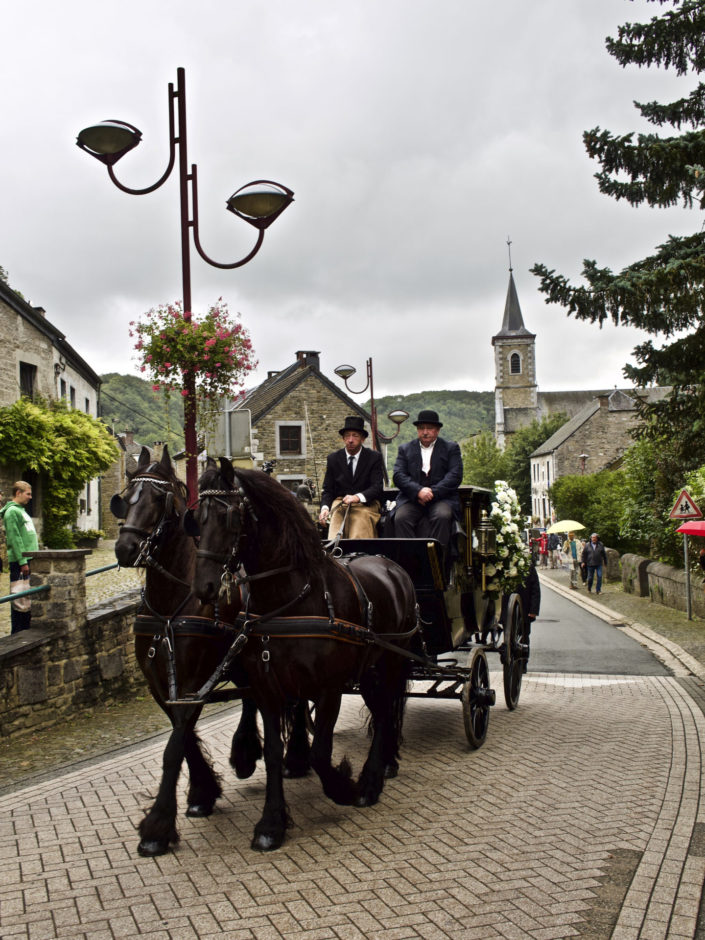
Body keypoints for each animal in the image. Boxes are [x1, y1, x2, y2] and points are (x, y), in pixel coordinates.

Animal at [191, 458, 418, 852]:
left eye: (228, 516)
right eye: (195, 518)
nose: (204, 587)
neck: (291, 598)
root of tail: (391, 565)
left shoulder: (329, 689)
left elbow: (320, 753)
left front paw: (344, 786)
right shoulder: (267, 689)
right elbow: (272, 753)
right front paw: (271, 823)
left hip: (391, 662)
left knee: (388, 710)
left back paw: (371, 781)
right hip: (368, 670)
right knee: (383, 712)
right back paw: (383, 766)